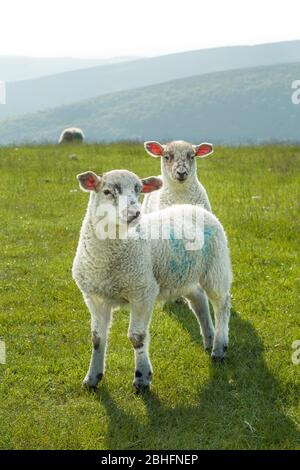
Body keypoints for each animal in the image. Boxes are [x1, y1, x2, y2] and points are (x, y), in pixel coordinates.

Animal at [72, 168, 232, 390]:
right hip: (184, 275)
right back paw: (209, 338)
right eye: (107, 191)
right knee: (199, 300)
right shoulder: (94, 298)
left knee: (222, 304)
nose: (134, 213)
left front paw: (142, 377)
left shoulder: (143, 292)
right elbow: (96, 338)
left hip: (216, 266)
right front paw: (92, 377)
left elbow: (136, 338)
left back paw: (219, 346)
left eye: (138, 190)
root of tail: (193, 207)